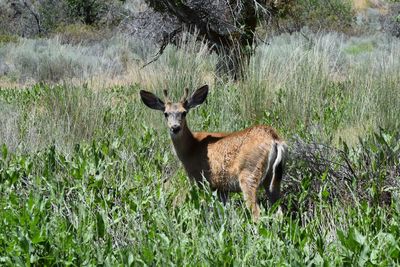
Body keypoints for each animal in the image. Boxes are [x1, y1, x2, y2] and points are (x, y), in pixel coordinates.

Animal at [139, 86, 286, 222]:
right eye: (166, 113)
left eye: (184, 112)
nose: (175, 127)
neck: (191, 148)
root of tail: (274, 139)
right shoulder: (221, 187)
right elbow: (223, 212)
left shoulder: (202, 180)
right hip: (274, 179)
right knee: (279, 211)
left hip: (249, 173)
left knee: (257, 213)